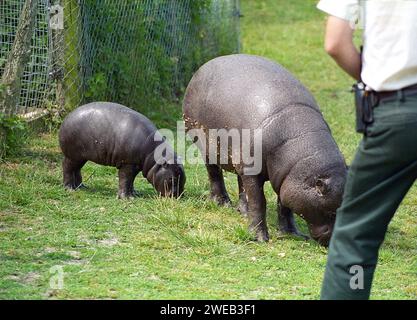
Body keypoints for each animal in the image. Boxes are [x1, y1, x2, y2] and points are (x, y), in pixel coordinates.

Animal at [184, 54, 346, 245]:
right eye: (331, 211)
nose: (334, 241)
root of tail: (205, 65)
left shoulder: (286, 177)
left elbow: (284, 206)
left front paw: (292, 234)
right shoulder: (256, 172)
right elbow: (258, 202)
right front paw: (260, 238)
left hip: (240, 158)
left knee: (240, 183)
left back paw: (242, 212)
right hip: (206, 145)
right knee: (214, 173)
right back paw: (222, 203)